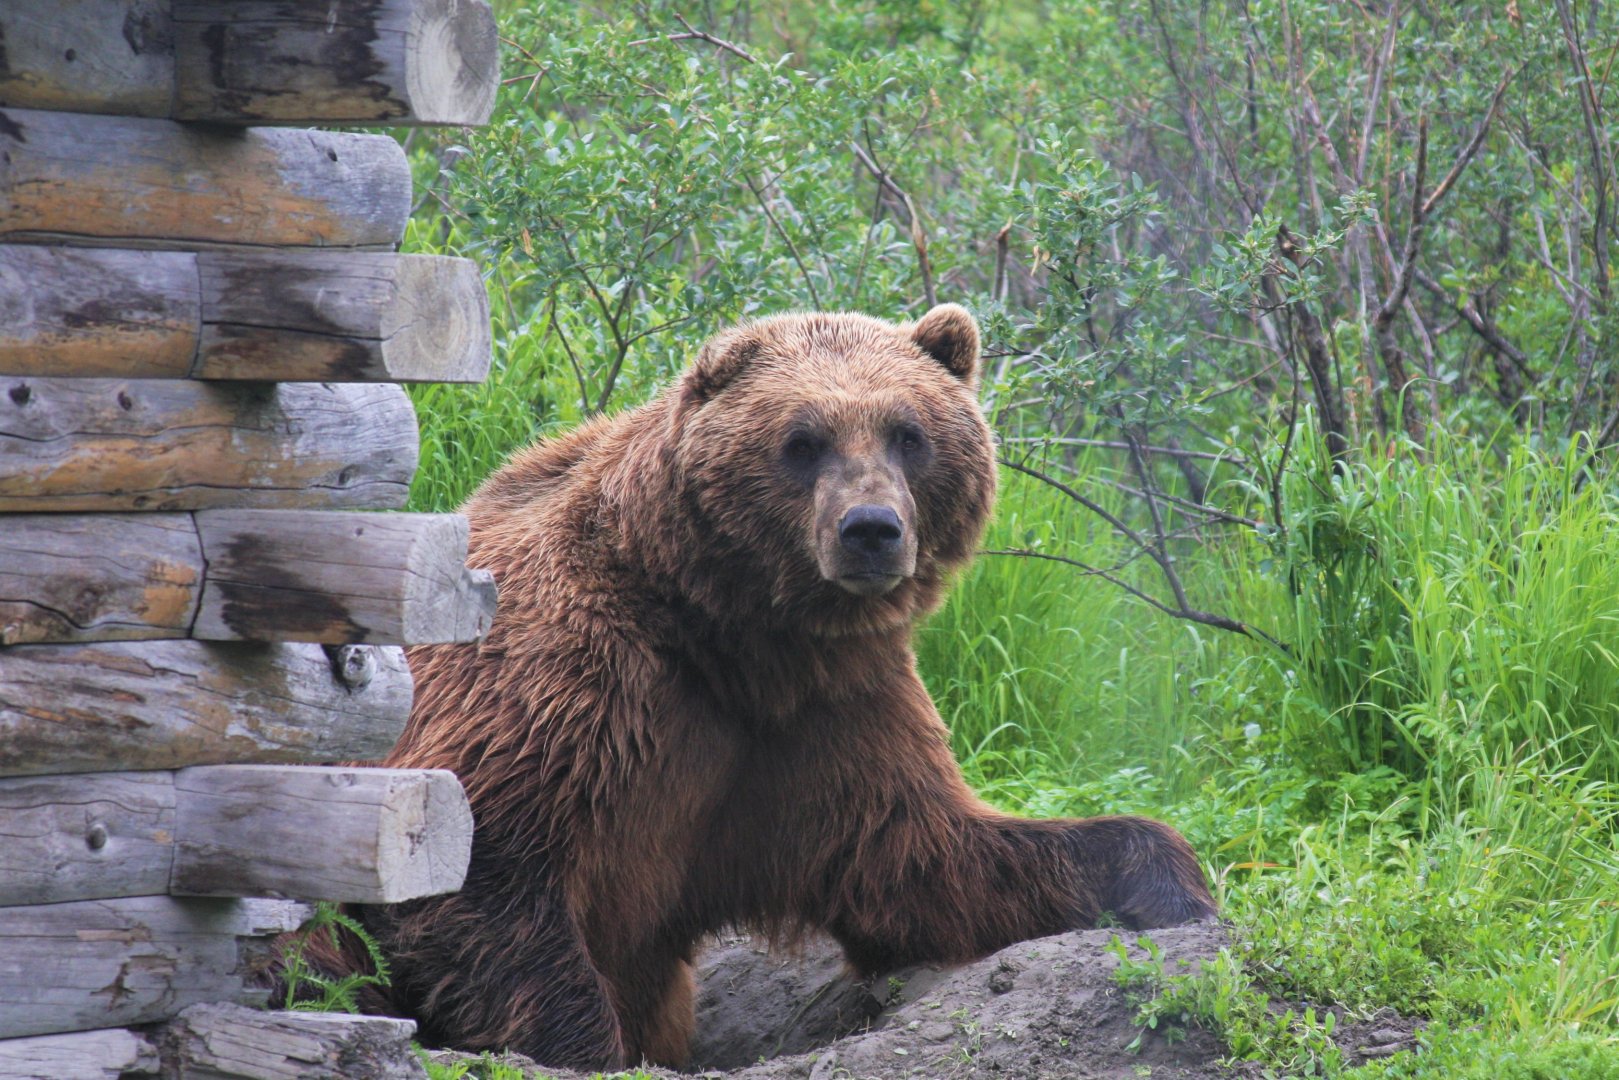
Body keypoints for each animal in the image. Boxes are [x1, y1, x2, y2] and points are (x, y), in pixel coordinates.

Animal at [335, 304, 1216, 1069]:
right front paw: (586, 1045)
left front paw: (1171, 888)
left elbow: (929, 856)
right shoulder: (570, 686)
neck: (730, 630)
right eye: (802, 440)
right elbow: (481, 870)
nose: (870, 529)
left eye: (908, 434)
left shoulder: (824, 719)